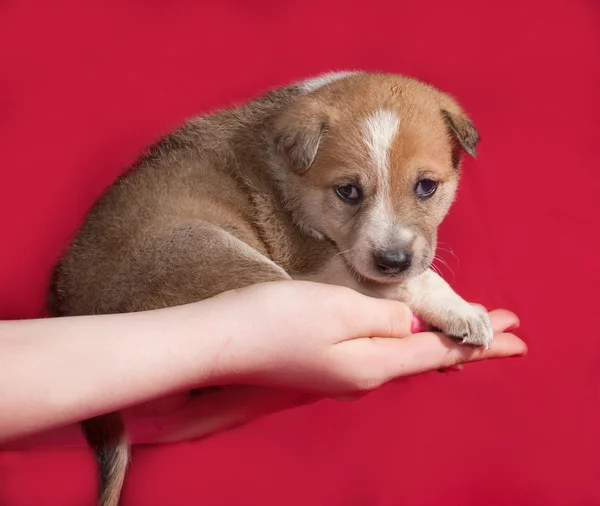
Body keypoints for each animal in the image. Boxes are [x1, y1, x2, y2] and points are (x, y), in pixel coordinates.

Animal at [49, 72, 492, 506]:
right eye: (348, 191)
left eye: (426, 187)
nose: (392, 261)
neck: (297, 184)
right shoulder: (326, 263)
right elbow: (419, 280)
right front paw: (462, 311)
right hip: (206, 248)